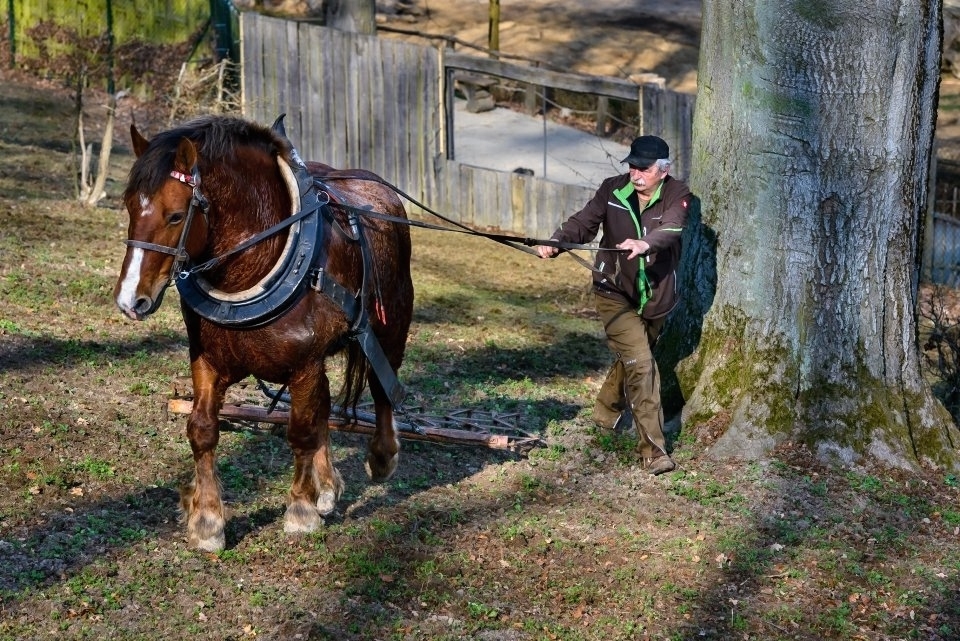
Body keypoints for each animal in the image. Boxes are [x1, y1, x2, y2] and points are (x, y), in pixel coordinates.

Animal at [112, 115, 412, 552]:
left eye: (175, 216)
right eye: (131, 206)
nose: (129, 299)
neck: (257, 260)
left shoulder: (304, 365)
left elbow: (301, 431)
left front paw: (300, 511)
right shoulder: (208, 361)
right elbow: (202, 430)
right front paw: (207, 520)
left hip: (392, 319)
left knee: (381, 382)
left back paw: (383, 456)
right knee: (324, 405)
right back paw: (326, 487)